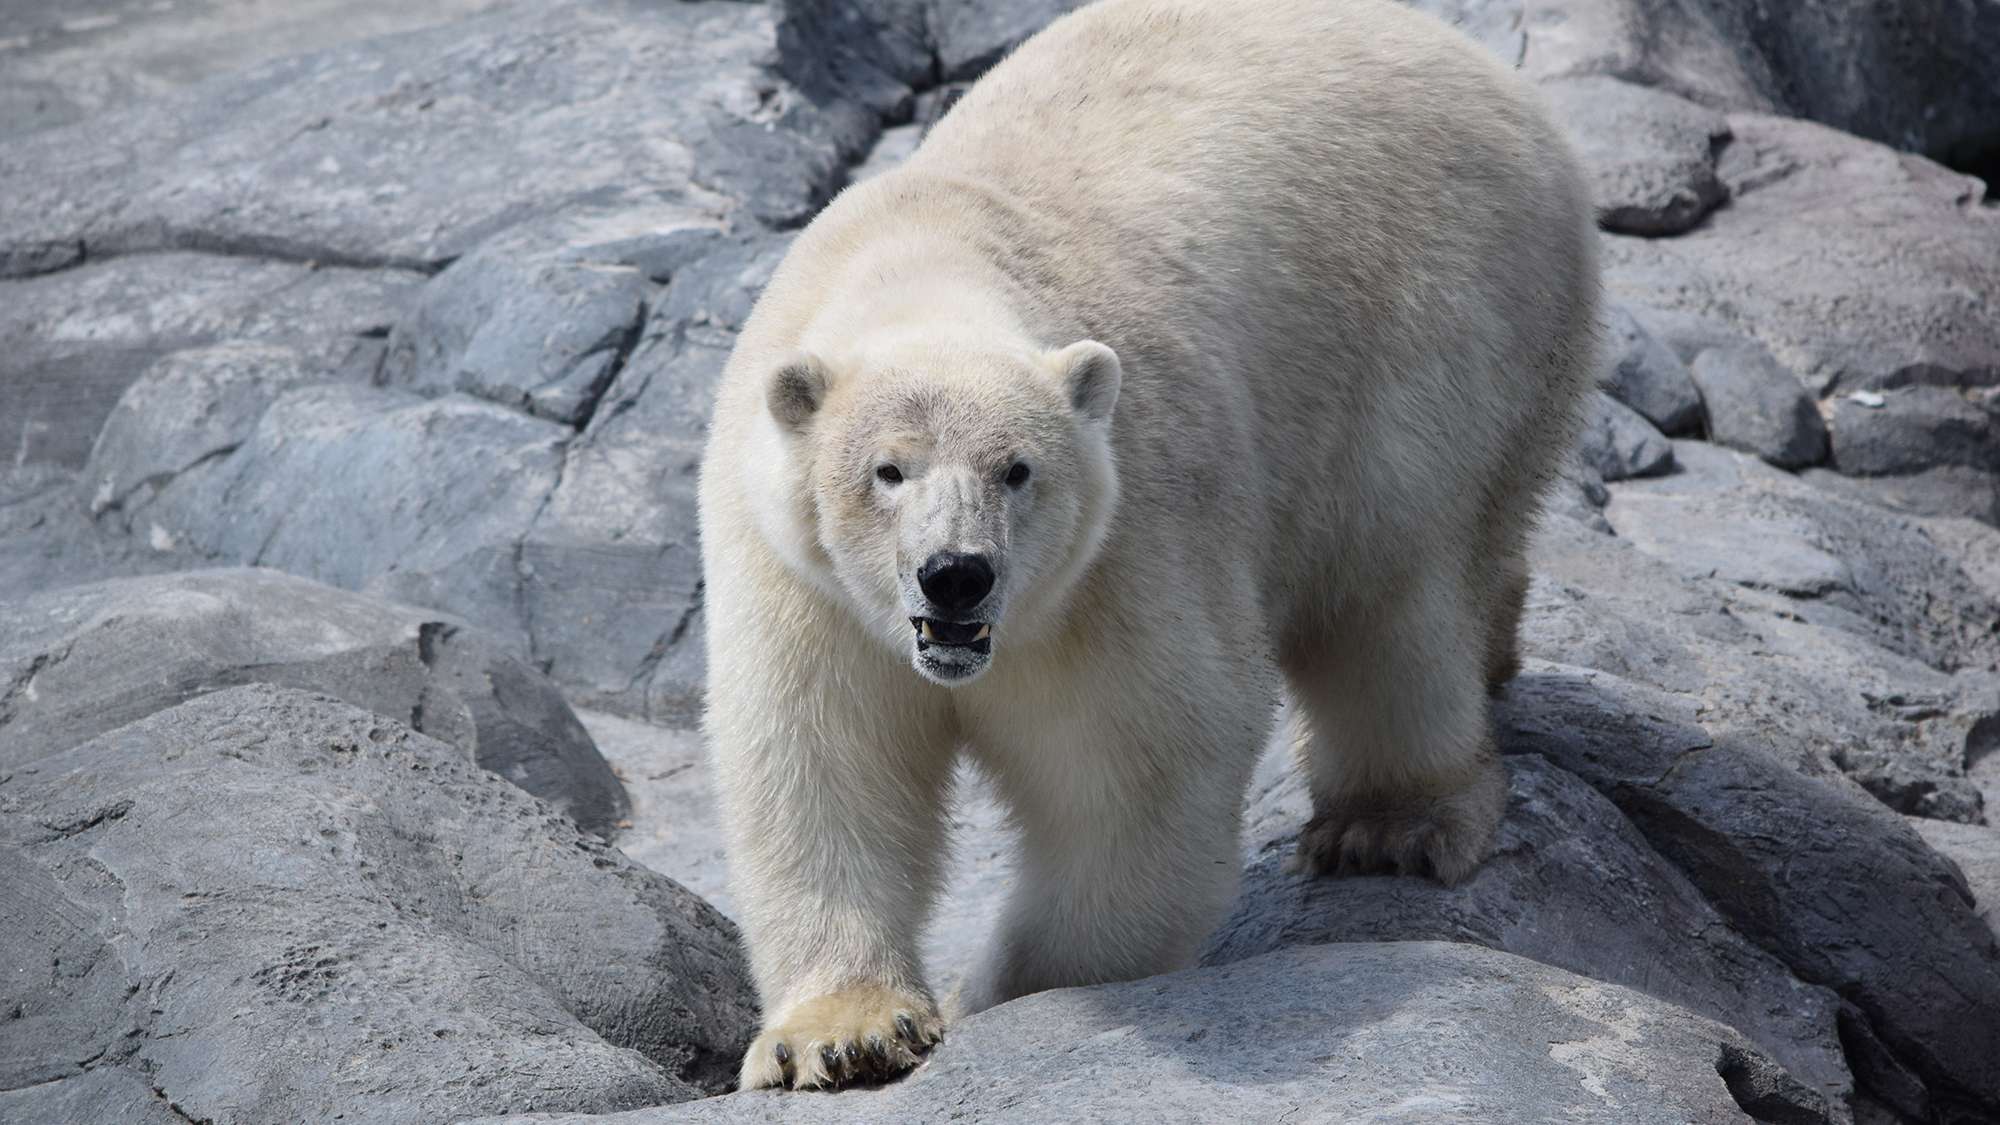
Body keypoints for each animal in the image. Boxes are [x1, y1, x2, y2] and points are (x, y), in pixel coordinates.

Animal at [697, 0, 1598, 1091]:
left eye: (1017, 469)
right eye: (886, 470)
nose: (956, 578)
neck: (920, 265)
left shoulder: (1122, 544)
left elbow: (1139, 770)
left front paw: (997, 989)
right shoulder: (803, 578)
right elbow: (821, 764)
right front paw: (843, 1035)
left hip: (1437, 329)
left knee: (1394, 592)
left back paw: (1389, 823)